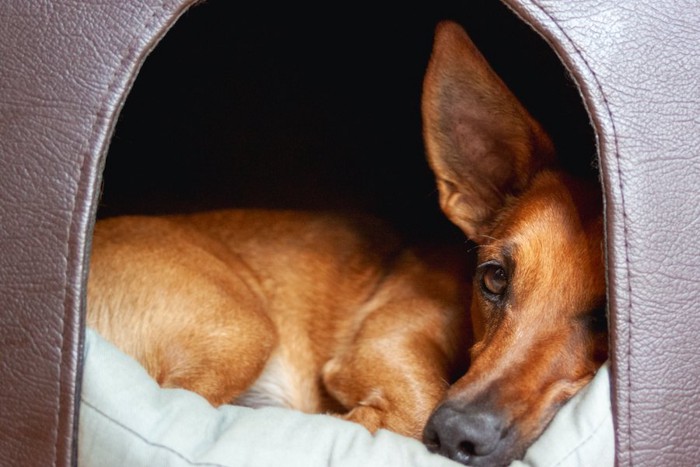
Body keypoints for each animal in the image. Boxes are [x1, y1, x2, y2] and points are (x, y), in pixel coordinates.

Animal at [85, 20, 604, 466]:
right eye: (494, 278)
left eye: (607, 317)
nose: (457, 432)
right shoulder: (383, 344)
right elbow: (416, 406)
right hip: (241, 329)